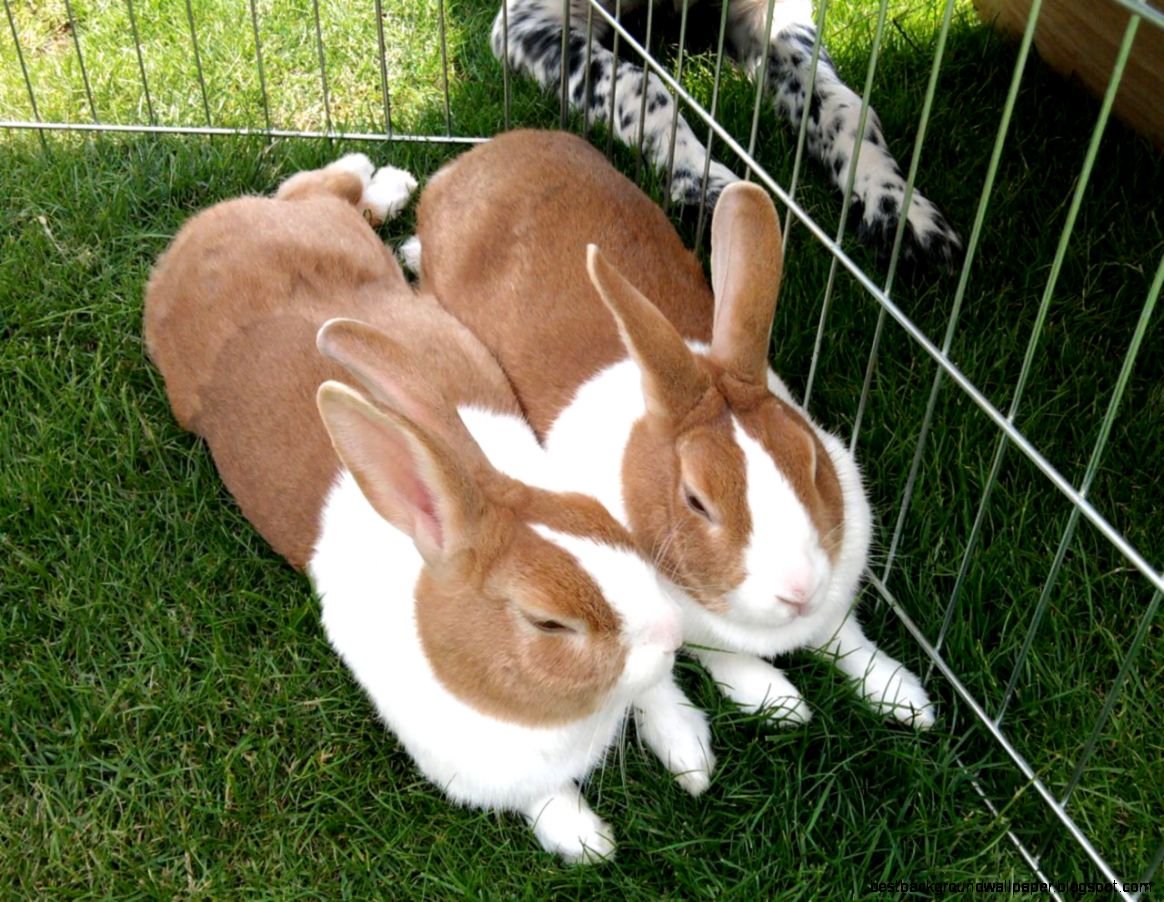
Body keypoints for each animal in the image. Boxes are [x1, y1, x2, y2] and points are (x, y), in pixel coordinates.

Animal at [143, 154, 714, 863]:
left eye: (598, 519)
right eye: (547, 623)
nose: (670, 633)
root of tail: (185, 246)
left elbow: (659, 694)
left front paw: (691, 759)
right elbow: (546, 800)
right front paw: (590, 843)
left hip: (327, 236)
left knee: (314, 189)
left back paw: (383, 179)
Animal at [414, 129, 935, 730]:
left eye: (810, 461)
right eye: (696, 501)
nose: (799, 589)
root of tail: (477, 157)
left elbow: (847, 638)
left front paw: (907, 699)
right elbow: (724, 659)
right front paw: (778, 702)